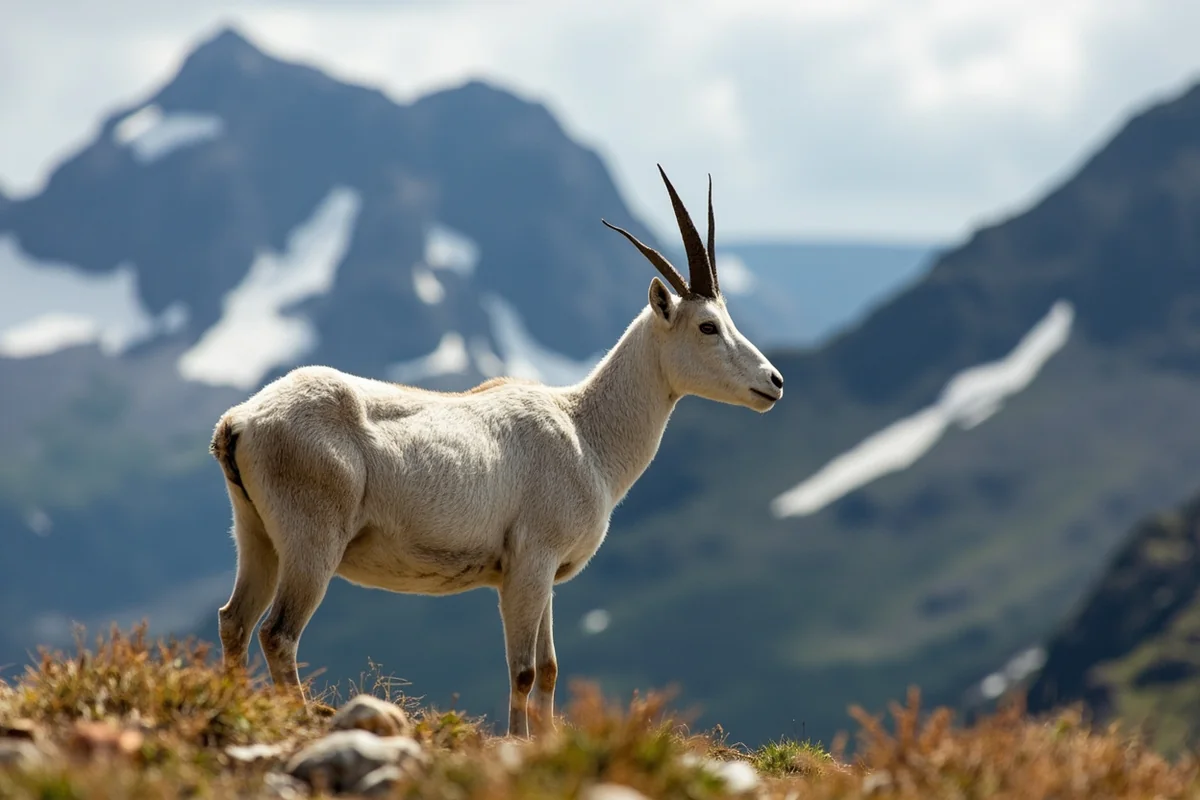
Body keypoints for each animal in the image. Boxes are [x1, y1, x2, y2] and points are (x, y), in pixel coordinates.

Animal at [210, 165, 784, 737]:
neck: (584, 431)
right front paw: (516, 742)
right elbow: (524, 670)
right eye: (707, 325)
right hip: (312, 544)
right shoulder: (530, 563)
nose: (774, 382)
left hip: (257, 536)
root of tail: (241, 420)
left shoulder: (546, 576)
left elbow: (549, 668)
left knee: (234, 621)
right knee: (278, 632)